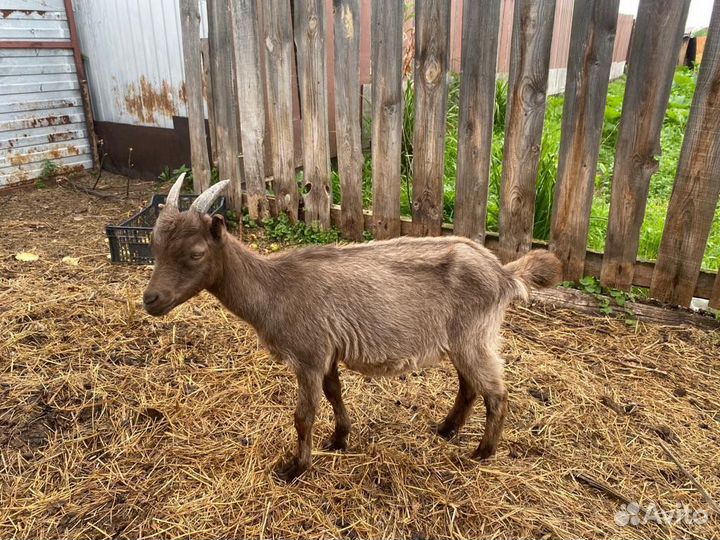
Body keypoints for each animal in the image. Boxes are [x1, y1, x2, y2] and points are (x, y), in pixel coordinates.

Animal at [143, 175, 562, 481]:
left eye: (196, 253)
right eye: (155, 245)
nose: (151, 299)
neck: (275, 287)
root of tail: (503, 273)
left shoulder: (309, 354)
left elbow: (304, 414)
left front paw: (295, 468)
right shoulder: (327, 351)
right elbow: (334, 392)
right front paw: (340, 438)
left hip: (474, 336)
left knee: (496, 393)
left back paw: (482, 452)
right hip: (461, 340)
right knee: (469, 386)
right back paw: (446, 430)